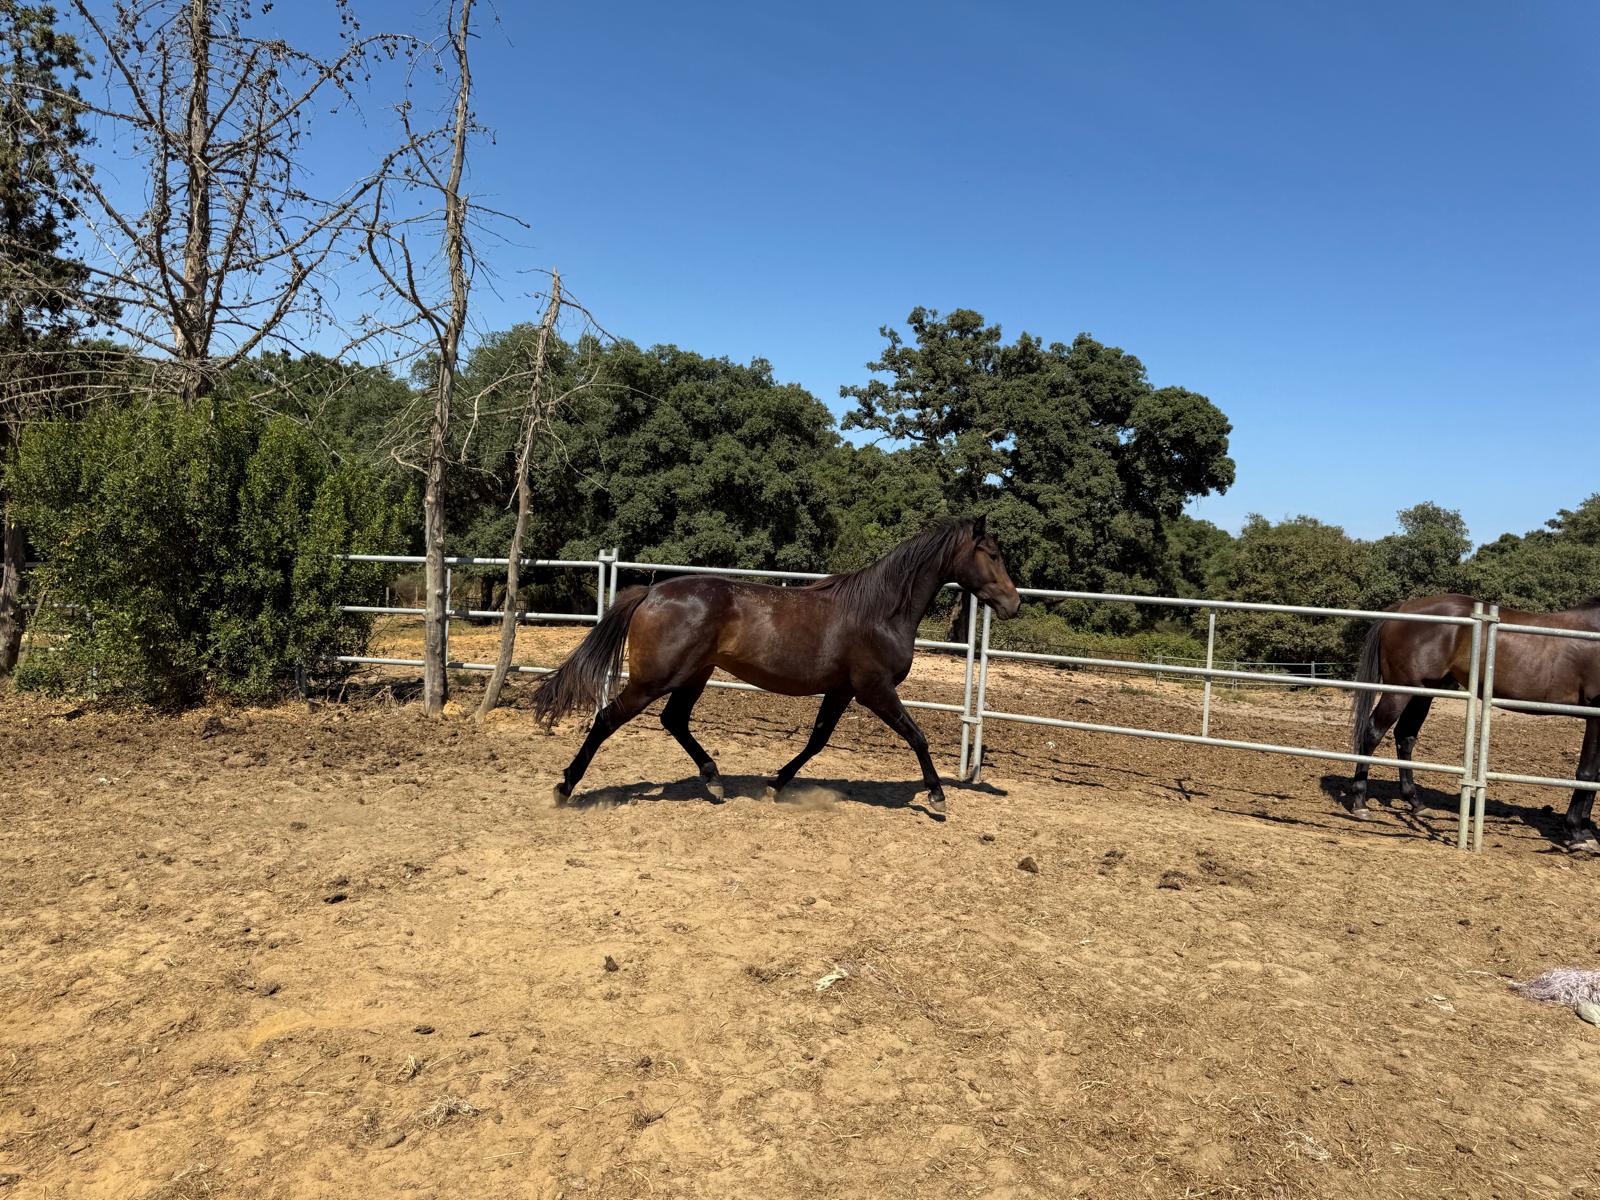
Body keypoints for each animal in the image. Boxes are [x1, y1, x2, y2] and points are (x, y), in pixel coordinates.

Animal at [530, 516, 1022, 814]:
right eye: (993, 554)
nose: (1014, 604)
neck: (881, 611)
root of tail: (650, 592)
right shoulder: (875, 690)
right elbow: (917, 736)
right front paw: (937, 796)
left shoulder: (842, 690)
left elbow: (817, 740)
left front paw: (776, 784)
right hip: (654, 679)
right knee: (608, 718)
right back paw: (565, 788)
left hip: (695, 675)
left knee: (675, 721)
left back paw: (715, 782)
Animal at [1347, 593, 1600, 847]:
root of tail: (1403, 608)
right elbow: (1587, 773)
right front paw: (1578, 833)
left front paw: (1584, 829)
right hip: (1399, 691)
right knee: (1373, 732)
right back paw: (1360, 803)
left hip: (1423, 692)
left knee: (1405, 737)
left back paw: (1416, 804)